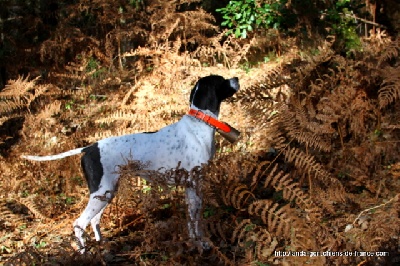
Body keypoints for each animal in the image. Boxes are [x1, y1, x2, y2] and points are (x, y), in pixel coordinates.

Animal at [21, 75, 238, 251]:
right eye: (222, 80)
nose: (236, 78)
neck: (199, 123)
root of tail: (89, 148)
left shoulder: (190, 188)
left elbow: (192, 219)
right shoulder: (194, 184)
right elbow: (196, 220)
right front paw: (201, 244)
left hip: (106, 193)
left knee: (94, 220)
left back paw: (102, 244)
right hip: (101, 192)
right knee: (79, 224)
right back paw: (84, 253)